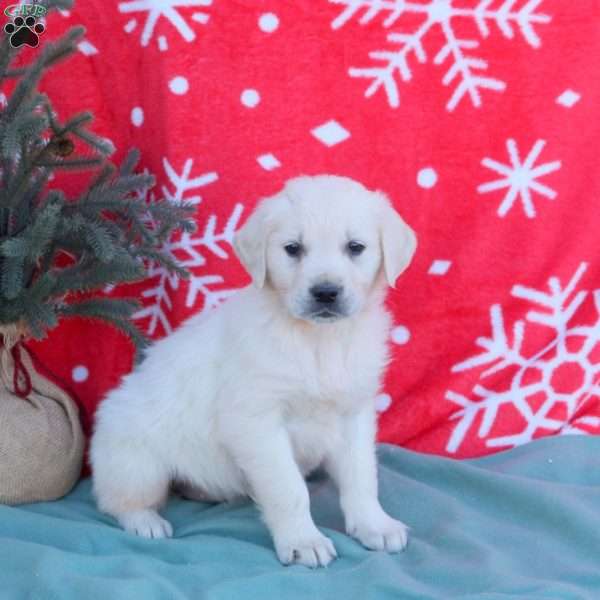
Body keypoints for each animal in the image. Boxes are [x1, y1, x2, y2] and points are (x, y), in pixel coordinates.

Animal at [90, 173, 418, 568]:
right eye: (293, 249)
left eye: (355, 247)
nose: (325, 292)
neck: (318, 340)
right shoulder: (256, 421)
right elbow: (289, 488)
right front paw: (303, 540)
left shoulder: (354, 414)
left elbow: (361, 477)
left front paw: (374, 525)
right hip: (136, 460)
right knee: (118, 501)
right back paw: (146, 522)